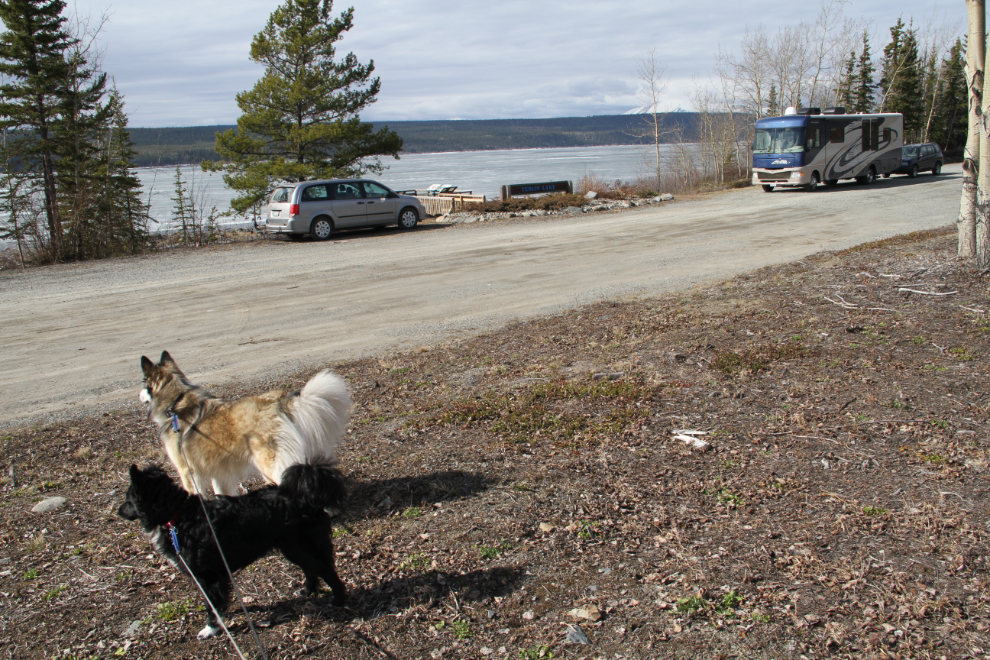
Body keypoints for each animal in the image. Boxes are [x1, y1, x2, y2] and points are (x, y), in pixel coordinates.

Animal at [119, 464, 348, 640]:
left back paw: (338, 600)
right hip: (293, 549)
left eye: (129, 499)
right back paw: (307, 590)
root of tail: (303, 497)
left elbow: (212, 605)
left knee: (327, 571)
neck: (178, 516)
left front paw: (210, 629)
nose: (118, 511)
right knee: (312, 570)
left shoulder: (209, 577)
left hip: (300, 547)